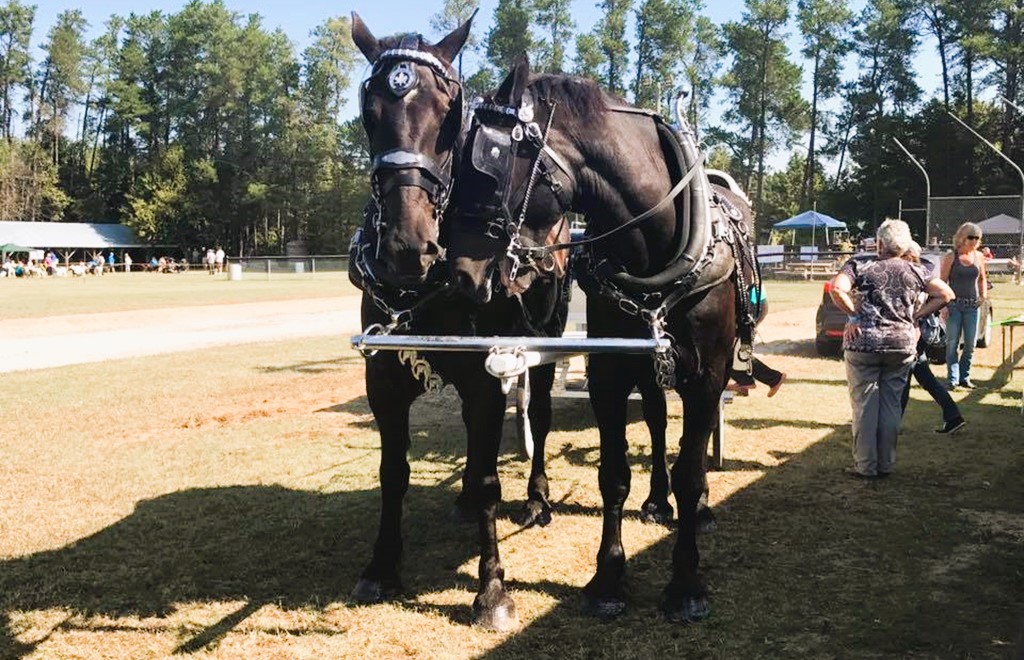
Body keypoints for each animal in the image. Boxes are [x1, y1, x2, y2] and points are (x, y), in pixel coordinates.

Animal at [348, 16, 575, 630]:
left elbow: (497, 472)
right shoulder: (384, 379)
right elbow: (393, 471)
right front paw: (381, 564)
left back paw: (537, 496)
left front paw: (491, 587)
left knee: (538, 417)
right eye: (368, 111)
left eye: (450, 114)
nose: (407, 247)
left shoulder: (486, 374)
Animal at [448, 55, 760, 622]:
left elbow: (690, 469)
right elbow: (613, 473)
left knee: (692, 442)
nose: (460, 274)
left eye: (490, 164)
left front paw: (685, 582)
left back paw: (698, 507)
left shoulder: (706, 377)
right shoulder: (612, 373)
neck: (659, 251)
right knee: (657, 423)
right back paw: (656, 499)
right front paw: (609, 576)